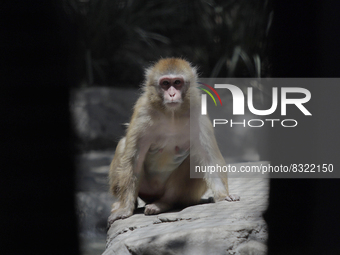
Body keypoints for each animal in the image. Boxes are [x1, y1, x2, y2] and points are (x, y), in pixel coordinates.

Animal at [108, 57, 239, 223]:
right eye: (165, 83)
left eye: (177, 82)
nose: (171, 94)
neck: (171, 114)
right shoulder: (142, 111)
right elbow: (133, 159)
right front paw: (125, 208)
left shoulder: (197, 111)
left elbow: (209, 158)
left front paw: (223, 196)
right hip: (145, 189)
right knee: (123, 144)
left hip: (187, 195)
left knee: (194, 159)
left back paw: (163, 204)